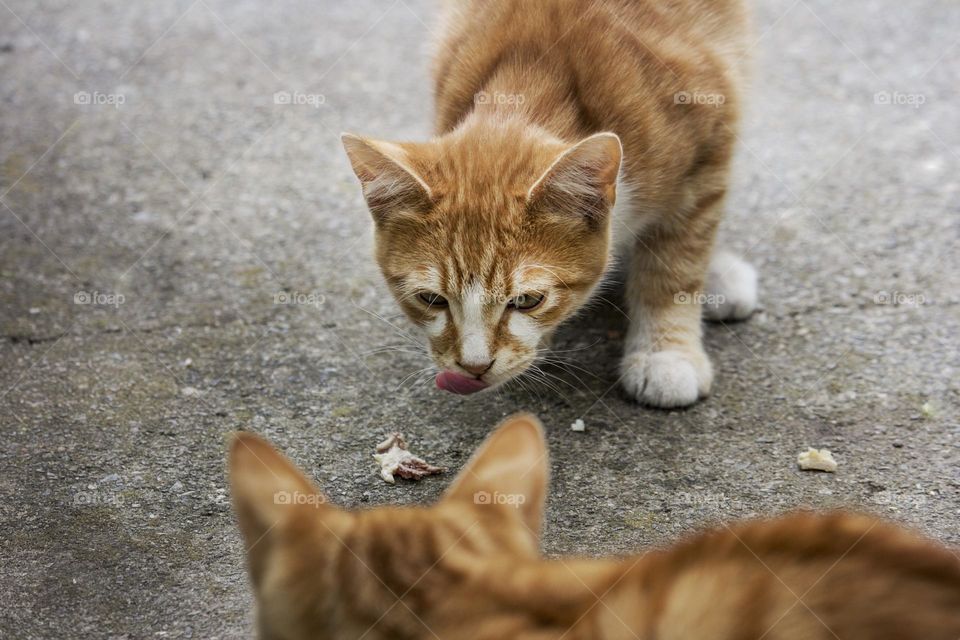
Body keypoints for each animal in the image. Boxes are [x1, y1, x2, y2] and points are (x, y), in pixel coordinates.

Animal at [344, 0, 756, 408]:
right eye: (431, 298)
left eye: (528, 300)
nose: (474, 367)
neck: (537, 73)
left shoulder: (709, 143)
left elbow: (677, 261)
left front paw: (666, 353)